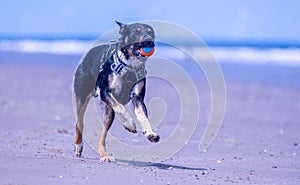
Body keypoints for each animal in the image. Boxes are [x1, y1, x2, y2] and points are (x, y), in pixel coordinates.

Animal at [73, 20, 159, 162]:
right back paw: (78, 146)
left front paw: (150, 133)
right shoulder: (105, 92)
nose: (148, 40)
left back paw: (104, 155)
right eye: (136, 32)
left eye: (151, 32)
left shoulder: (137, 97)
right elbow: (120, 107)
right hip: (82, 95)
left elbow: (142, 115)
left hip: (108, 114)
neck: (130, 65)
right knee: (79, 123)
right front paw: (129, 123)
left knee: (102, 135)